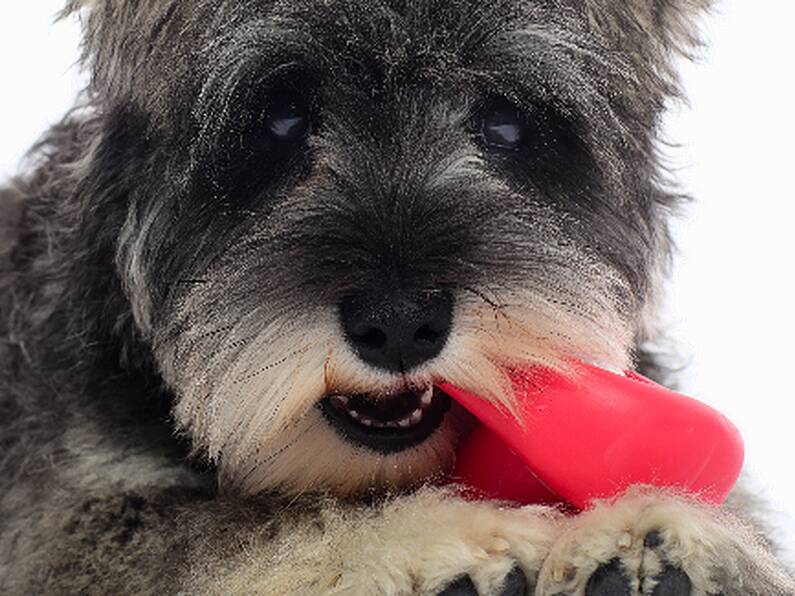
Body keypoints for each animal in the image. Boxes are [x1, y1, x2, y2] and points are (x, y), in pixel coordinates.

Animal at [1, 1, 795, 596]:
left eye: (505, 121)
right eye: (280, 116)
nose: (399, 324)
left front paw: (676, 535)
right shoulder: (67, 529)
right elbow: (241, 530)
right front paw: (449, 546)